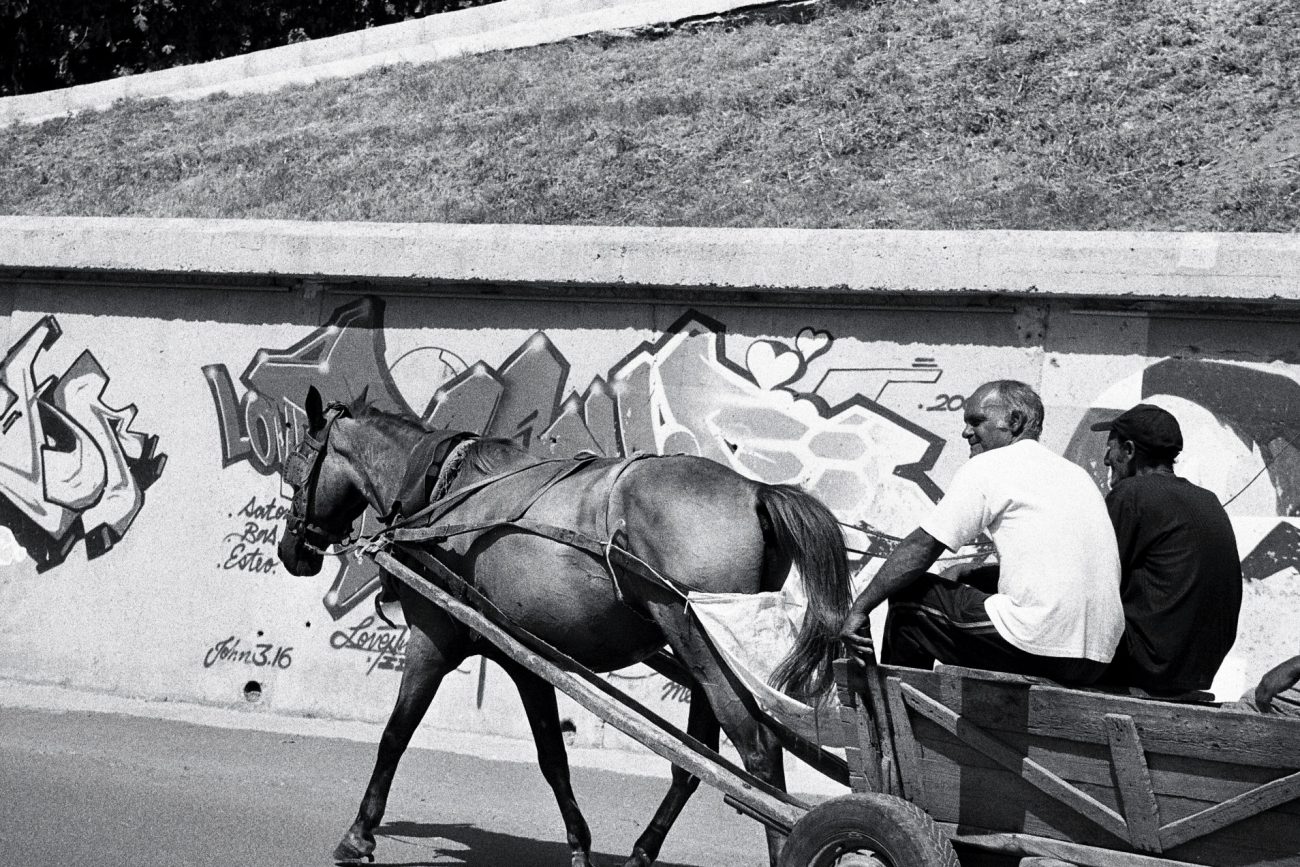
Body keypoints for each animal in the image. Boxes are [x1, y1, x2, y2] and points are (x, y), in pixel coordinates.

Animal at [277, 386, 851, 866]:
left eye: (294, 468)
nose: (290, 551)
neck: (442, 493)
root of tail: (754, 490)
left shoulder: (432, 640)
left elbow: (395, 734)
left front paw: (358, 834)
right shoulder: (524, 658)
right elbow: (552, 755)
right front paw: (579, 843)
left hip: (701, 643)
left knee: (758, 752)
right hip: (703, 650)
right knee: (696, 760)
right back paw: (643, 849)